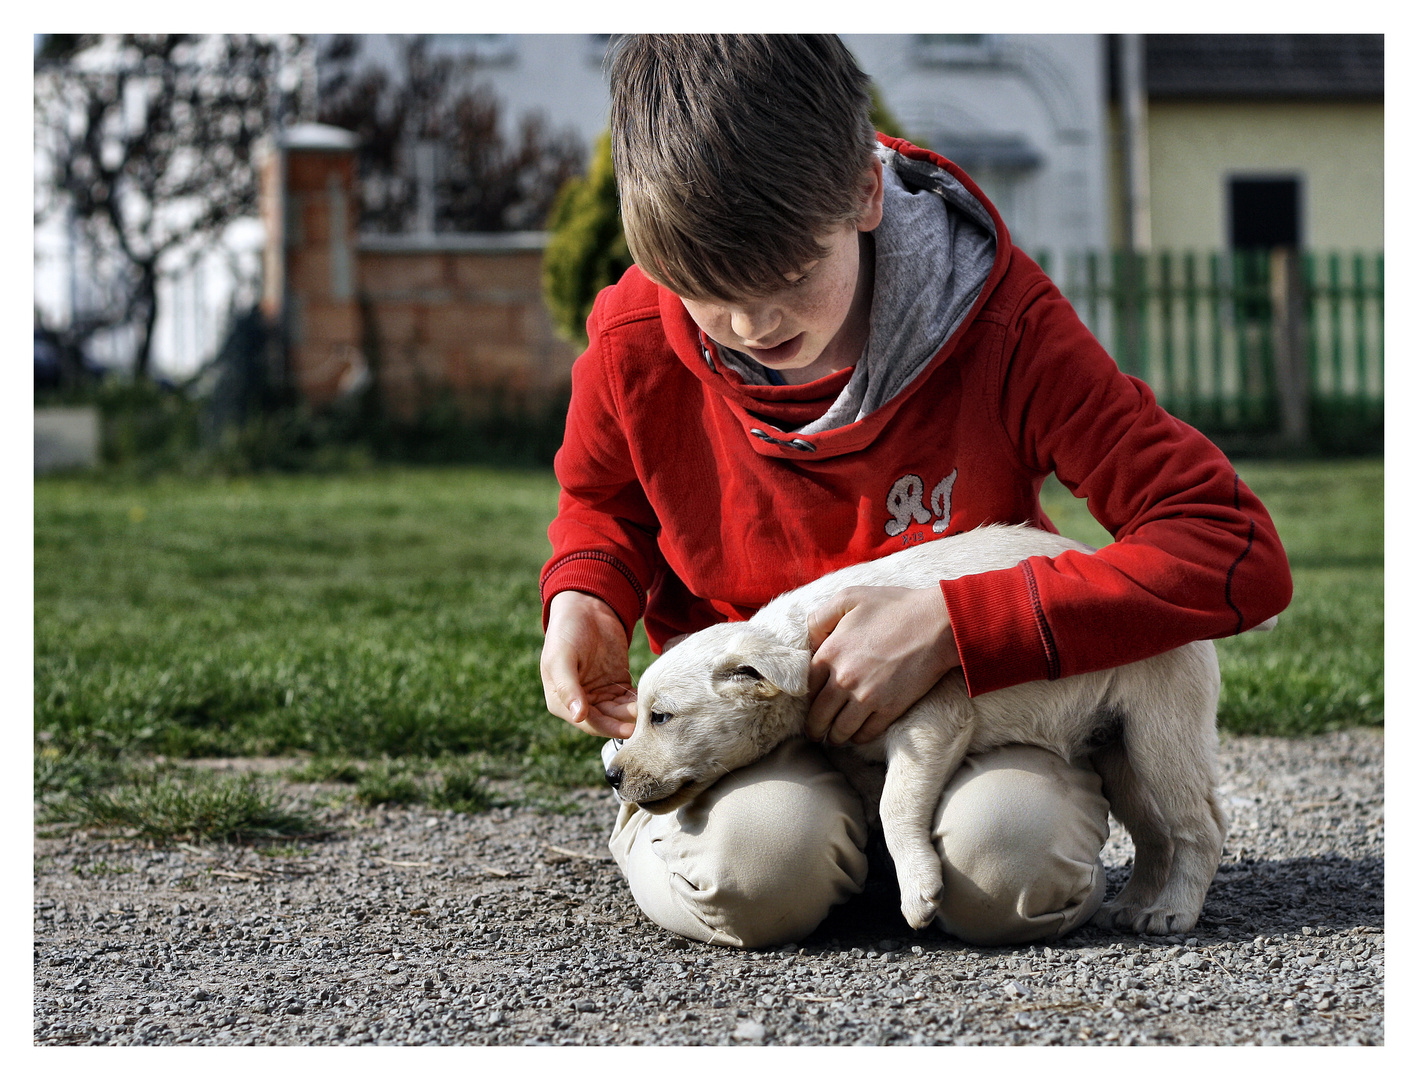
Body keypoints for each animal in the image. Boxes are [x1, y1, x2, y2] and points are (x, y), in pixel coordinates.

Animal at [604, 527, 1236, 929]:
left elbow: (894, 804)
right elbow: (870, 794)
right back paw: (1134, 905)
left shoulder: (931, 718)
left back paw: (1172, 911)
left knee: (1200, 827)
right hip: (1120, 754)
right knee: (1156, 834)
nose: (612, 775)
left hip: (1162, 733)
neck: (808, 640)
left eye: (661, 717)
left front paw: (918, 891)